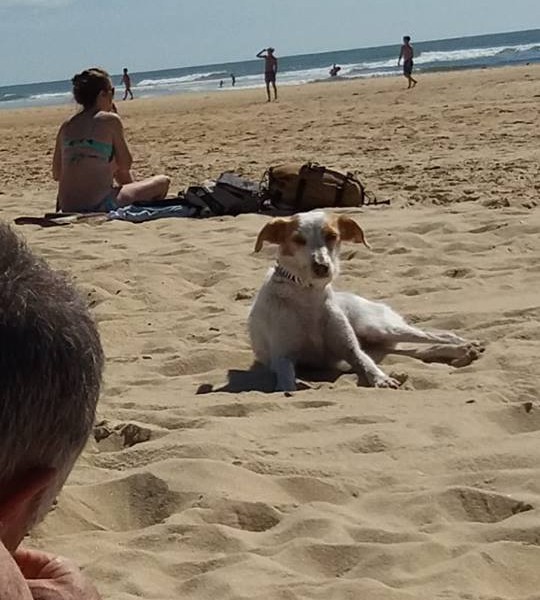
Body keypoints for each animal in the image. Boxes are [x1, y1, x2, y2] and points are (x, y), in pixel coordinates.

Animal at [248, 212, 480, 394]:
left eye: (332, 236)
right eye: (298, 239)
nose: (322, 267)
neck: (308, 295)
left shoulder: (351, 349)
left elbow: (366, 363)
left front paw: (381, 379)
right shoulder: (282, 357)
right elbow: (286, 378)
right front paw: (289, 387)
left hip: (377, 328)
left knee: (435, 335)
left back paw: (462, 344)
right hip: (378, 339)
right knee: (414, 351)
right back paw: (461, 351)